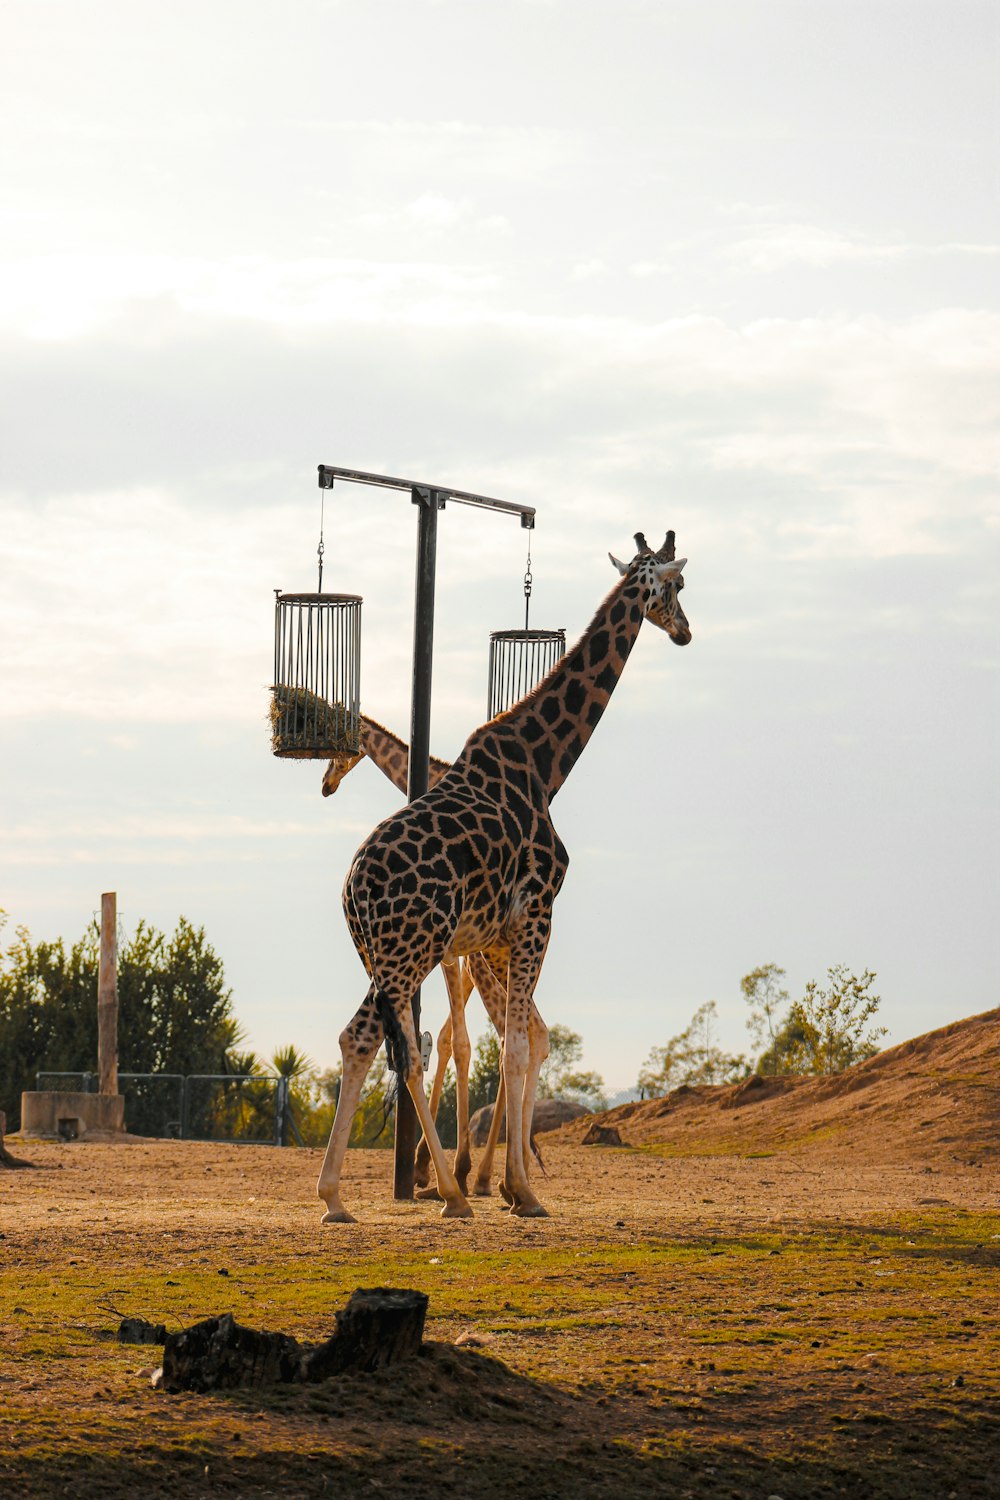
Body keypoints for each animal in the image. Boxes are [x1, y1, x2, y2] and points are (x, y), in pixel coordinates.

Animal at [320, 714, 542, 1194]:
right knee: (524, 1032)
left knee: (513, 1033)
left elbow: (454, 1041)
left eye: (340, 750)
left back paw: (490, 1175)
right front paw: (432, 1167)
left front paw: (441, 1168)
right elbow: (445, 1039)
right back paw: (506, 1171)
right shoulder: (459, 951)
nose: (326, 784)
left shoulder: (455, 951)